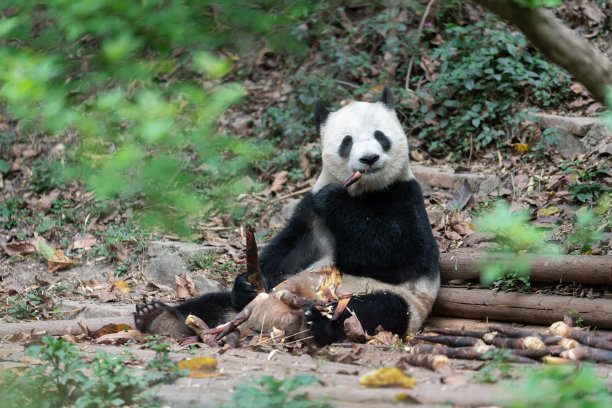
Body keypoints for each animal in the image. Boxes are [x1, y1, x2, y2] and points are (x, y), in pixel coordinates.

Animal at [134, 87, 440, 346]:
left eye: (380, 136)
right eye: (347, 141)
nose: (369, 159)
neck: (363, 191)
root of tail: (271, 321)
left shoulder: (404, 196)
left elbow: (397, 254)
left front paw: (335, 199)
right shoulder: (310, 212)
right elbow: (291, 250)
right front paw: (245, 282)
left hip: (392, 299)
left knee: (375, 309)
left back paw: (320, 323)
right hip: (250, 303)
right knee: (213, 303)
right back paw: (159, 318)